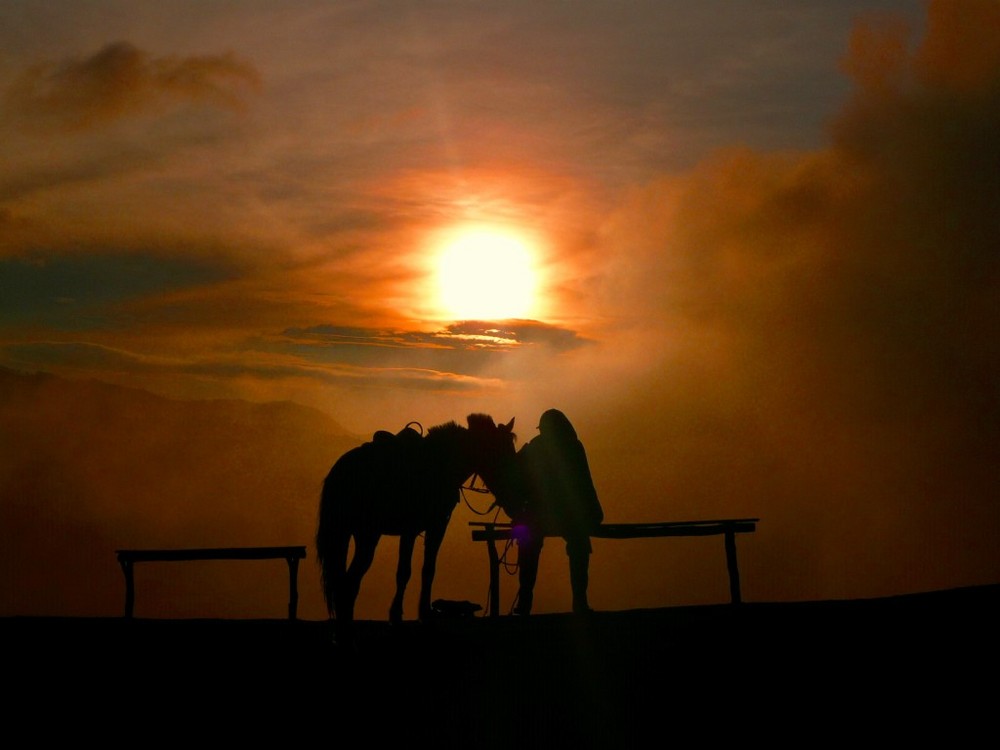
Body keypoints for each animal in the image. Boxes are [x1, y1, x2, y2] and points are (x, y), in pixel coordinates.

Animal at [316, 414, 520, 644]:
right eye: (500, 453)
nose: (515, 498)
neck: (439, 465)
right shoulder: (422, 528)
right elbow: (407, 572)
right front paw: (399, 617)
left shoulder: (426, 529)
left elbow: (426, 570)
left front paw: (421, 614)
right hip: (367, 535)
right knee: (350, 580)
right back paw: (345, 632)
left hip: (346, 534)